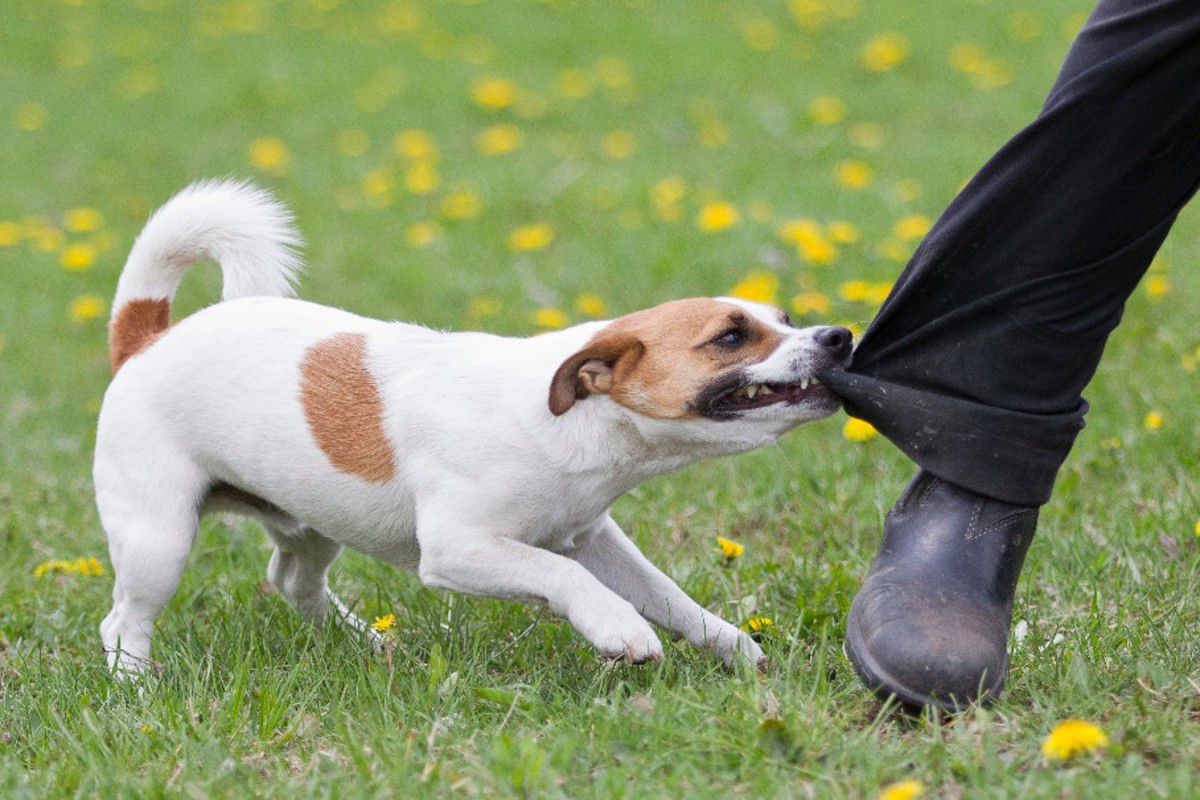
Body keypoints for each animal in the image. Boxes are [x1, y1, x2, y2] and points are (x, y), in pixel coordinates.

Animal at [96, 179, 854, 676]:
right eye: (731, 336)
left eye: (784, 318)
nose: (839, 336)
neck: (568, 424)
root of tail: (146, 338)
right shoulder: (461, 549)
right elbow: (560, 575)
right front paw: (617, 628)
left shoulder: (595, 540)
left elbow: (671, 596)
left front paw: (735, 647)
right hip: (159, 540)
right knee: (123, 619)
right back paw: (136, 686)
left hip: (311, 523)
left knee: (291, 582)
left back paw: (365, 644)